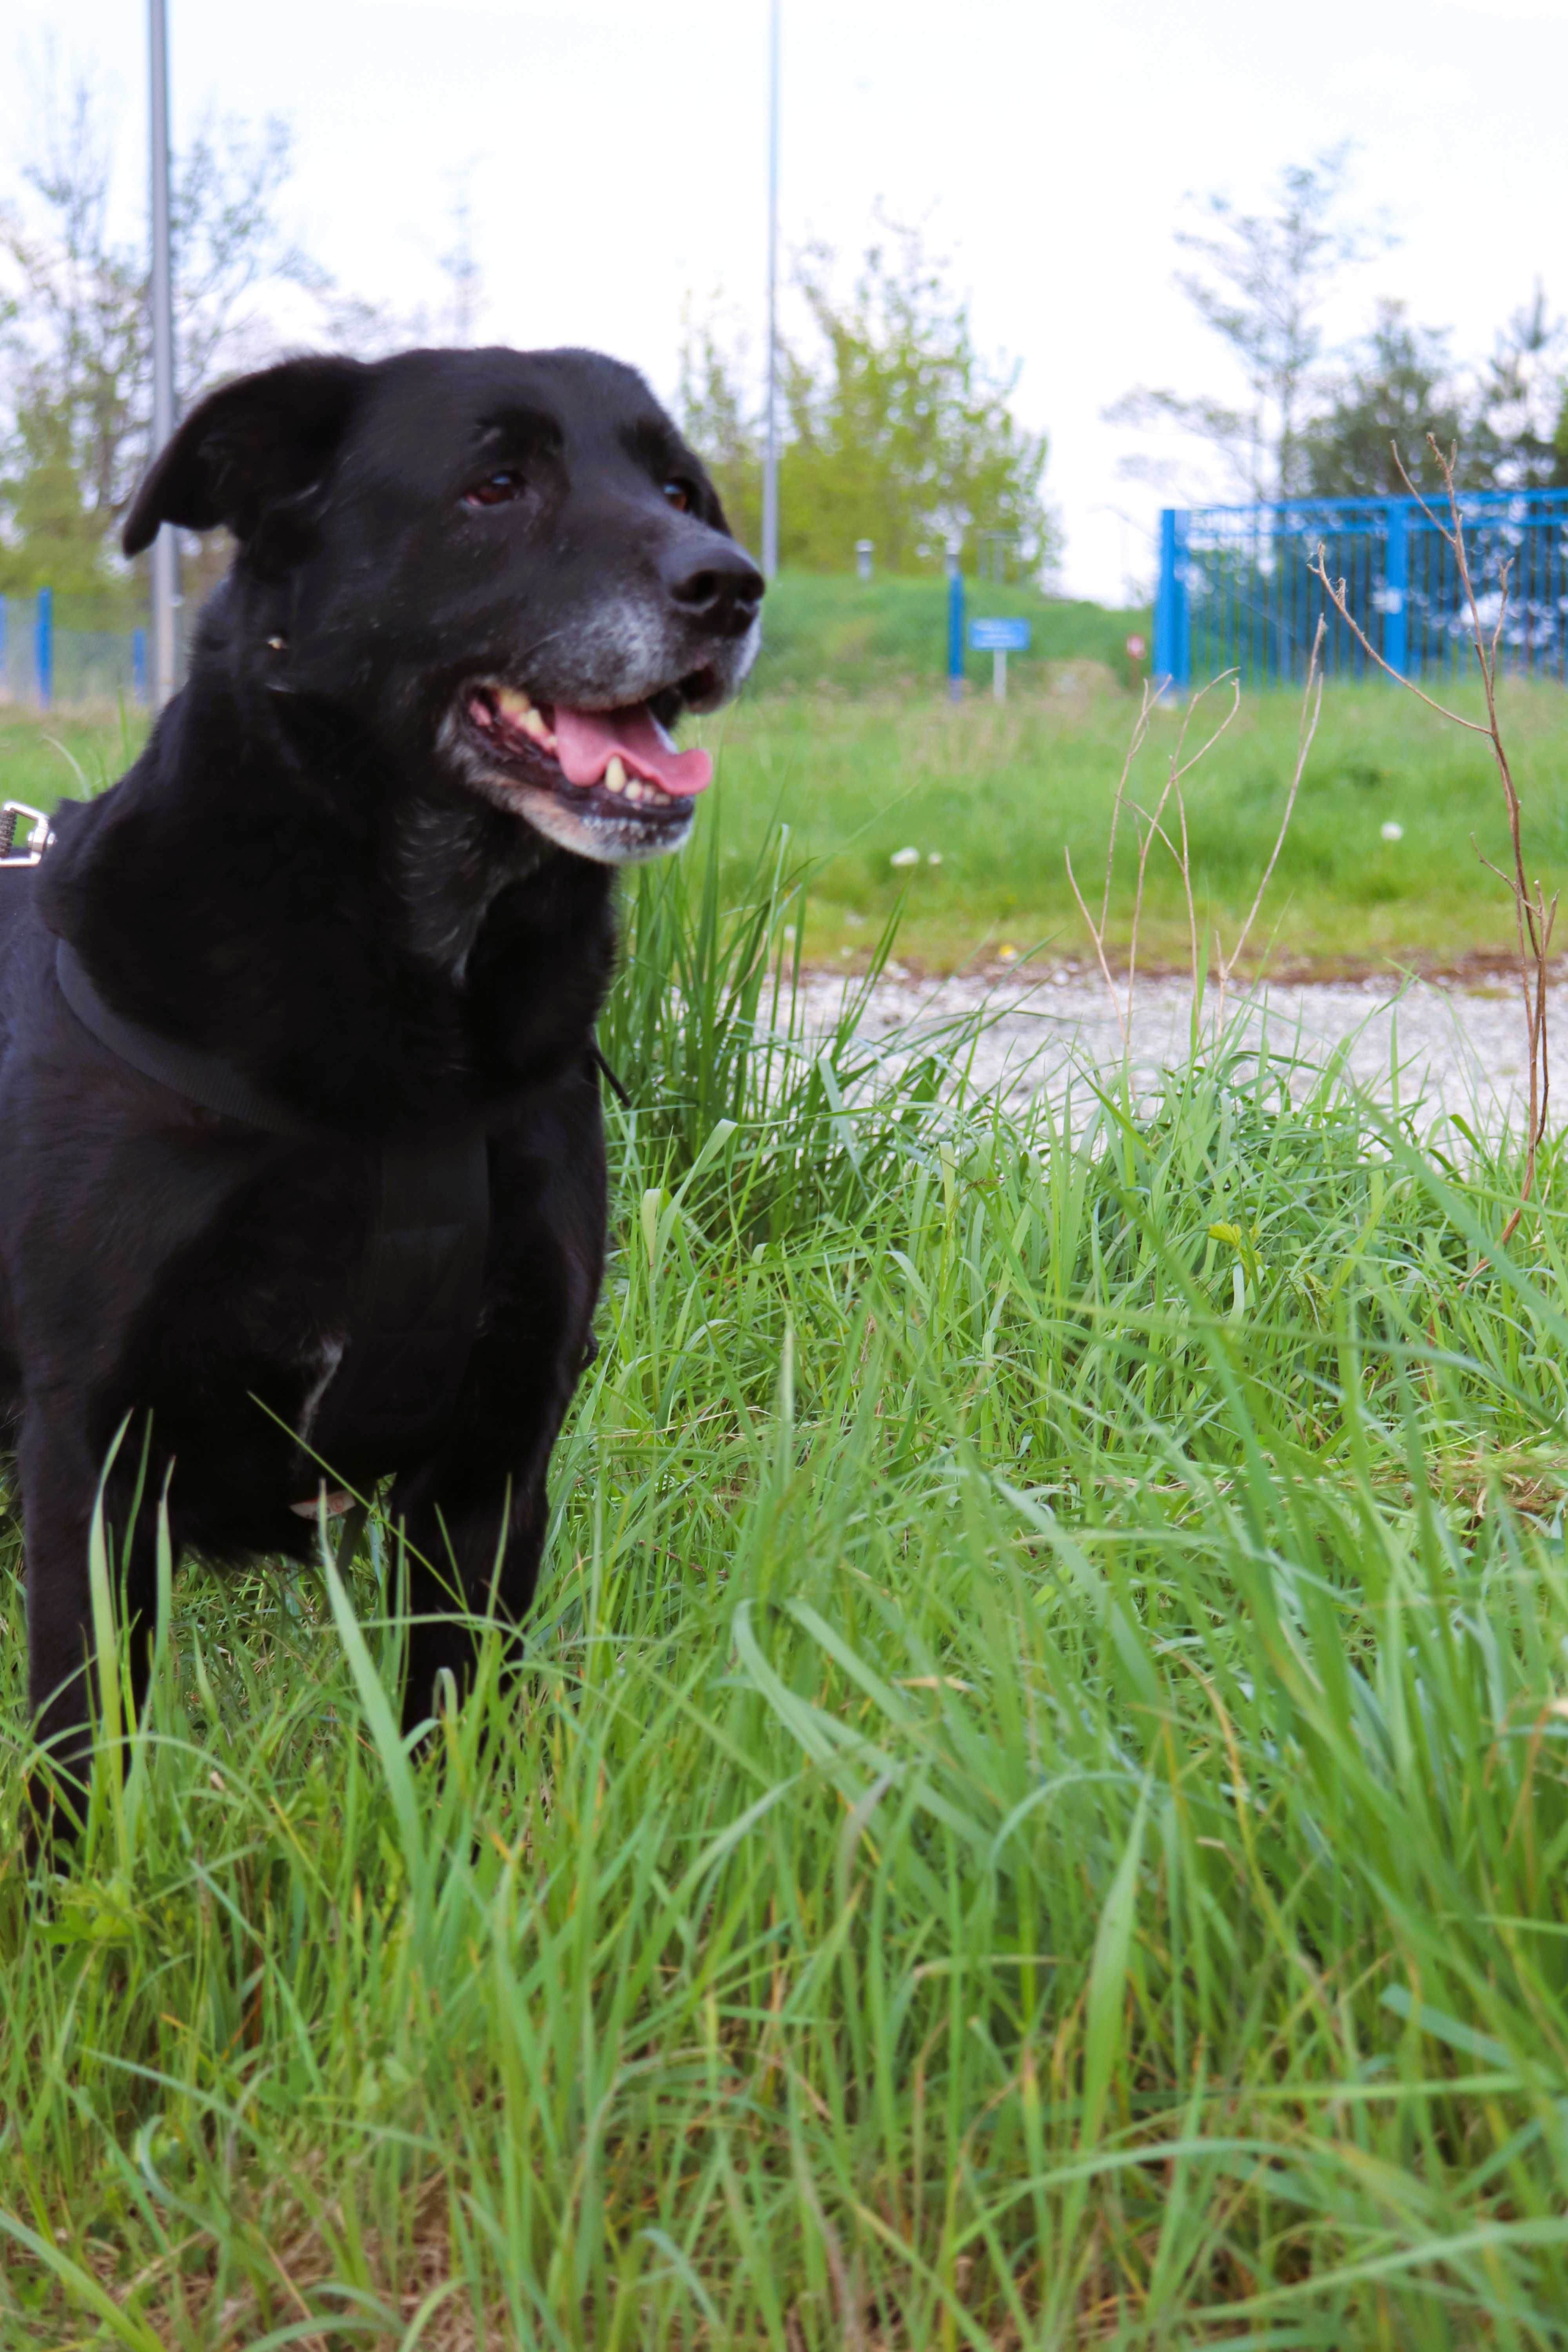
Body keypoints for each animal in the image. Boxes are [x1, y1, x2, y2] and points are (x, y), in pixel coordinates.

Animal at [0, 348, 762, 1806]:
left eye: (681, 489)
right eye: (496, 484)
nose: (733, 583)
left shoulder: (492, 1463)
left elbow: (453, 1737)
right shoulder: (90, 1453)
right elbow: (85, 1760)